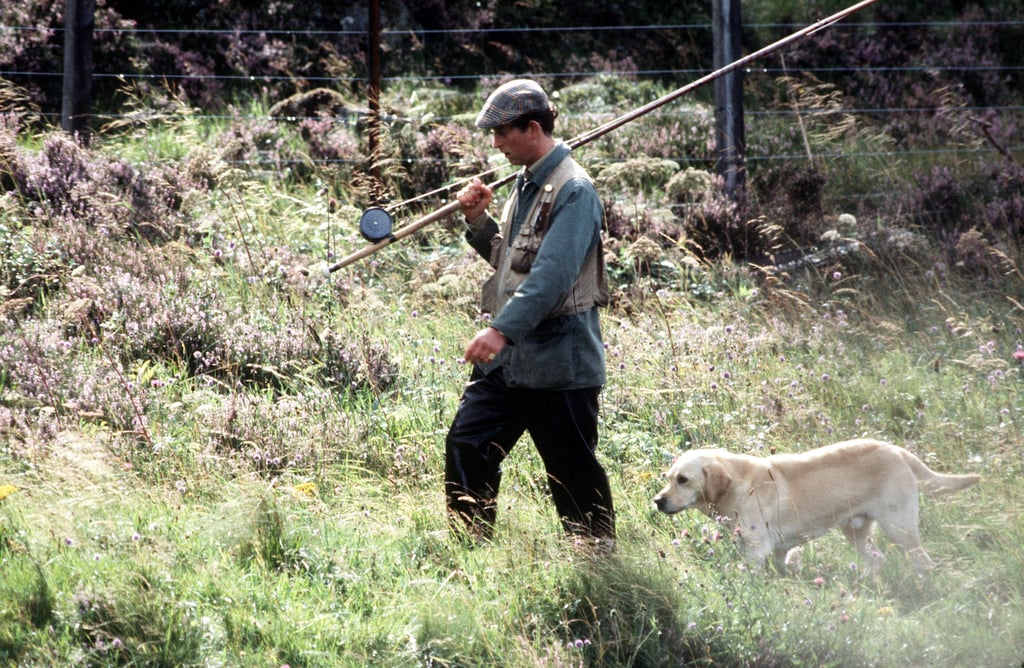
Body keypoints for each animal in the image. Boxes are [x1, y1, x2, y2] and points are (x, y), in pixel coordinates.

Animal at [651, 438, 978, 573]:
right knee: (876, 560)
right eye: (668, 478)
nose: (657, 501)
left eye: (683, 480)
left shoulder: (756, 549)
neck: (740, 486)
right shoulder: (778, 550)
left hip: (899, 528)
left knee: (922, 560)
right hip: (856, 530)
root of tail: (897, 450)